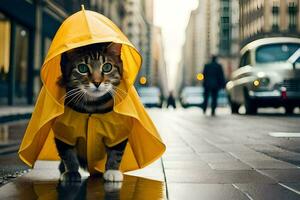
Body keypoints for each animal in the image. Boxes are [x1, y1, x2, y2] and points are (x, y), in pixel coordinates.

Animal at [55, 42, 126, 183]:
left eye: (107, 67)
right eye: (82, 68)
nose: (97, 82)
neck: (92, 106)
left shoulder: (118, 131)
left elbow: (116, 153)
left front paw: (112, 171)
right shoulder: (63, 131)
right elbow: (68, 155)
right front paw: (71, 172)